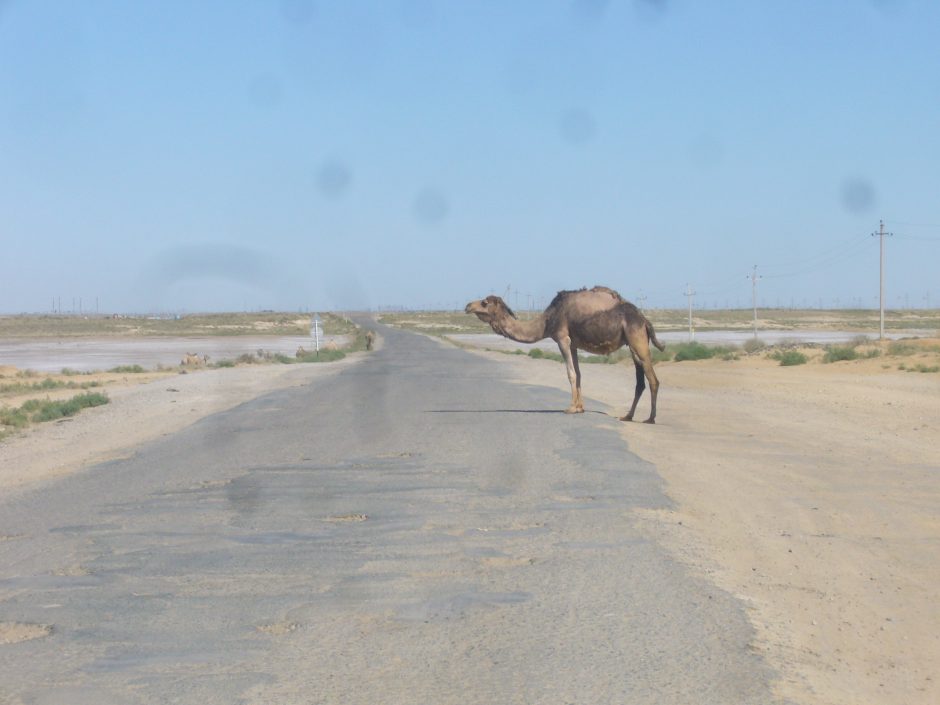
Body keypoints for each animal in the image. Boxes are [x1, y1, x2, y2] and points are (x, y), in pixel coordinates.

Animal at [466, 286, 664, 424]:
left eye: (484, 302)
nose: (468, 306)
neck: (547, 321)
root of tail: (644, 320)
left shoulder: (562, 338)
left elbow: (570, 373)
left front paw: (570, 408)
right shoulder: (574, 344)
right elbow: (579, 374)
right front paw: (580, 407)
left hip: (637, 339)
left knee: (653, 379)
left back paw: (650, 418)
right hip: (632, 343)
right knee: (640, 381)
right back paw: (628, 416)